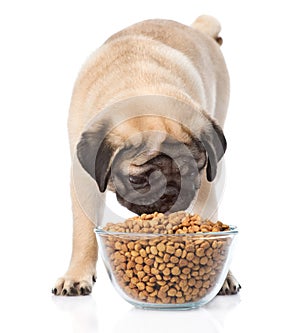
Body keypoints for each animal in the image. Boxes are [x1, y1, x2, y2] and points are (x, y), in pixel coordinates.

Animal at [51, 15, 239, 296]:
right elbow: (84, 234)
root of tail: (200, 30)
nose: (171, 193)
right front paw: (77, 274)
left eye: (190, 173)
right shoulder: (83, 180)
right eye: (138, 180)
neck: (139, 85)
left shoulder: (206, 180)